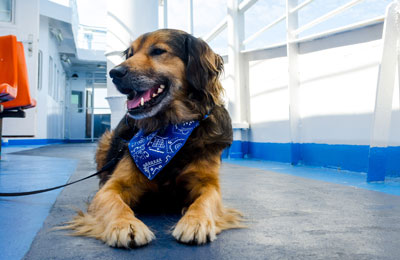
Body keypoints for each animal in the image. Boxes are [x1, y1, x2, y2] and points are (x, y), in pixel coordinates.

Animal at [65, 28, 242, 248]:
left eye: (158, 51)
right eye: (130, 54)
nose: (114, 73)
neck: (167, 128)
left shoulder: (207, 183)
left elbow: (204, 201)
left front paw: (196, 221)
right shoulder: (112, 186)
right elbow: (115, 202)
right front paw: (126, 225)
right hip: (105, 142)